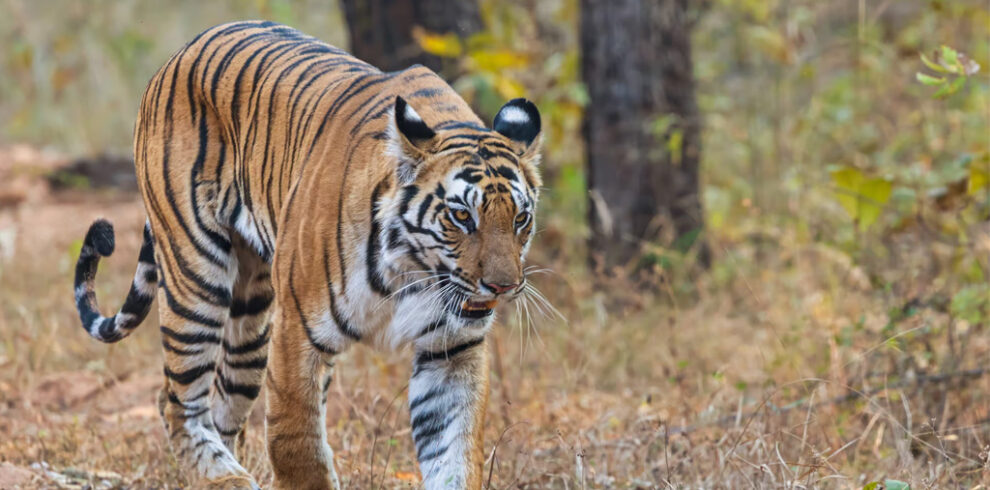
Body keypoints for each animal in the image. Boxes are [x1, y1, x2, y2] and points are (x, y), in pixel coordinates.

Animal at [71, 21, 542, 489]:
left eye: (520, 218)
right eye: (462, 216)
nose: (503, 287)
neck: (413, 270)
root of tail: (182, 51)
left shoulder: (454, 350)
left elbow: (454, 451)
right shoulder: (299, 331)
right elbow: (298, 444)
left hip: (251, 317)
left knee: (222, 403)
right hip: (196, 278)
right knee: (175, 400)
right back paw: (226, 477)